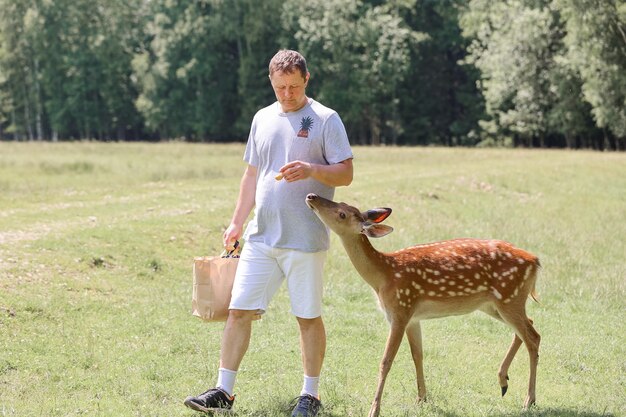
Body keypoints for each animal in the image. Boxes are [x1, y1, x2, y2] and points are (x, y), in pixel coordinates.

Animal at [304, 193, 540, 416]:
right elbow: (417, 355)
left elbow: (386, 361)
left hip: (509, 297)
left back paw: (529, 400)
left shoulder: (400, 309)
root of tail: (535, 261)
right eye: (342, 203)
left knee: (533, 337)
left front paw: (374, 410)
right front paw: (422, 399)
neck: (384, 276)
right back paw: (503, 381)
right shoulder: (413, 317)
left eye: (342, 214)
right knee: (528, 325)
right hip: (495, 303)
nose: (312, 196)